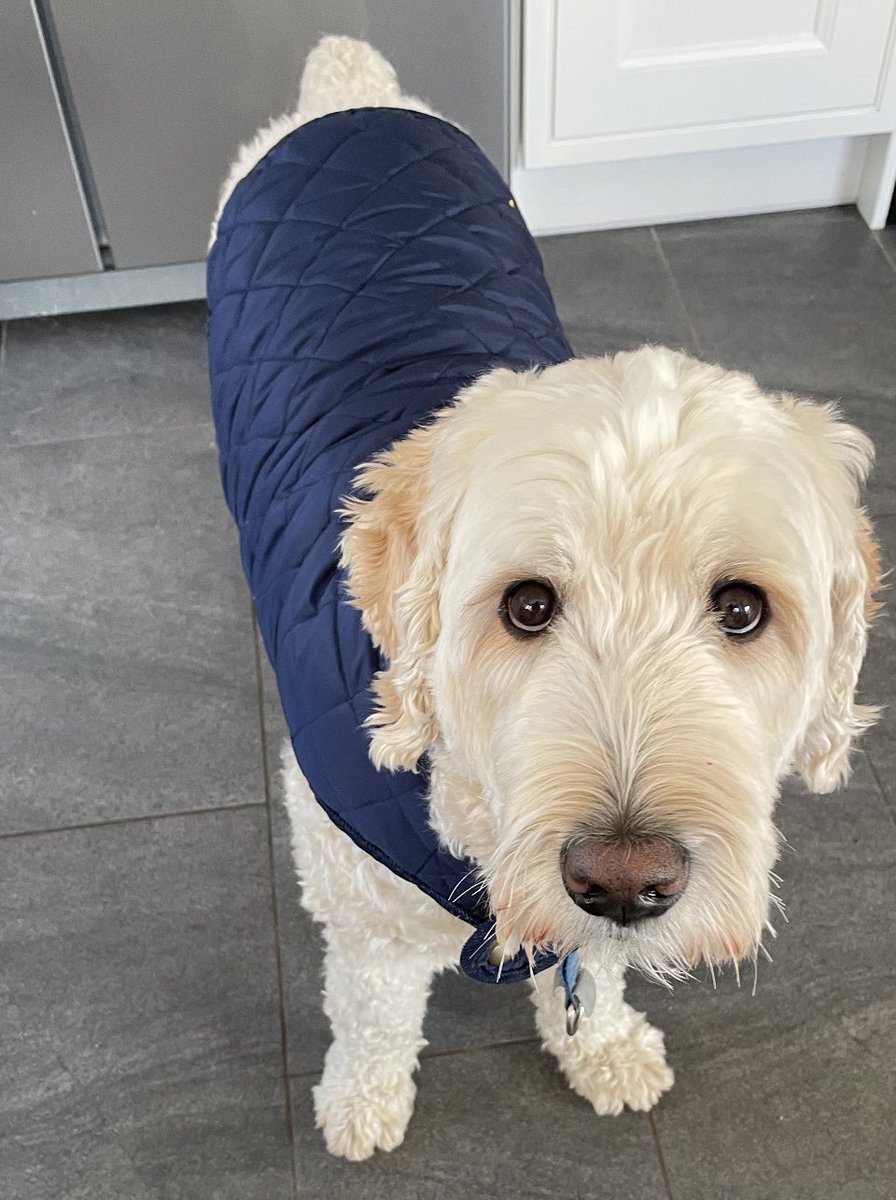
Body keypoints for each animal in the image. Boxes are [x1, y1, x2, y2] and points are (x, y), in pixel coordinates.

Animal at [212, 39, 882, 1161]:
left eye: (742, 609)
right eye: (526, 606)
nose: (623, 877)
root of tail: (348, 93)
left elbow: (590, 969)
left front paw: (600, 1046)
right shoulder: (367, 915)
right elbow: (373, 1014)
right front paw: (360, 1100)